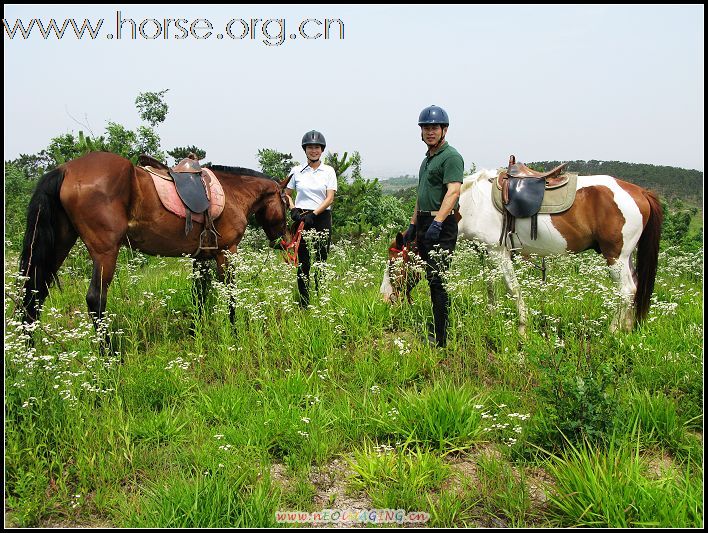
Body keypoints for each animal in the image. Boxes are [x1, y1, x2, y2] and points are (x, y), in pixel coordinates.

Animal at [19, 150, 292, 332]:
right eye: (287, 206)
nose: (285, 242)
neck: (233, 192)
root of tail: (65, 169)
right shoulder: (226, 251)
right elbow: (230, 292)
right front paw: (234, 329)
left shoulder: (201, 256)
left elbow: (198, 294)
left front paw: (196, 331)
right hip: (105, 252)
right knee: (96, 300)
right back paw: (108, 359)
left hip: (60, 245)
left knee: (35, 294)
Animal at [382, 168, 664, 334]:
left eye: (394, 264)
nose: (386, 298)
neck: (472, 203)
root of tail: (641, 191)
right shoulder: (487, 254)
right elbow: (491, 288)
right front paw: (492, 316)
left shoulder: (500, 253)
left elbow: (512, 289)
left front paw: (521, 327)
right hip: (626, 258)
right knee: (634, 288)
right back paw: (627, 327)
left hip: (615, 256)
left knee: (626, 290)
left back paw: (613, 331)